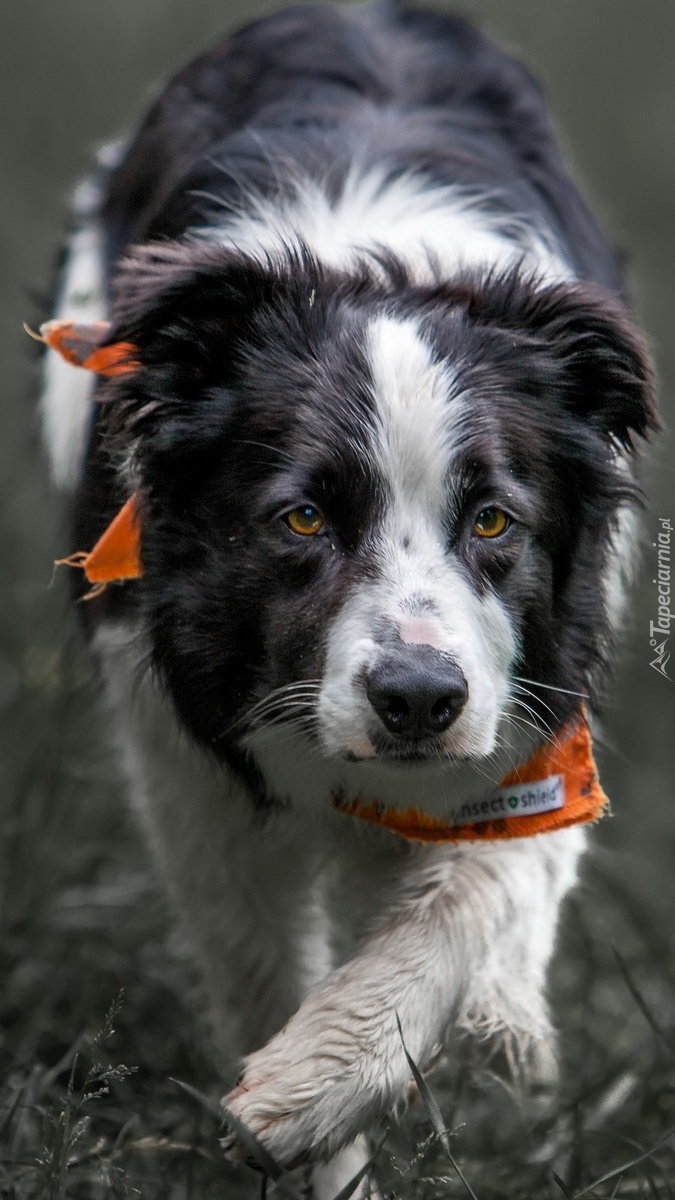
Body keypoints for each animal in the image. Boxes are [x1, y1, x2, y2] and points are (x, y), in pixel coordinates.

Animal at [42, 4, 653, 1195]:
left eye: (494, 520)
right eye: (301, 519)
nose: (415, 699)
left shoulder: (534, 692)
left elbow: (475, 892)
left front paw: (321, 1082)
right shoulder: (184, 754)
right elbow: (259, 953)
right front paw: (307, 1137)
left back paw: (510, 1025)